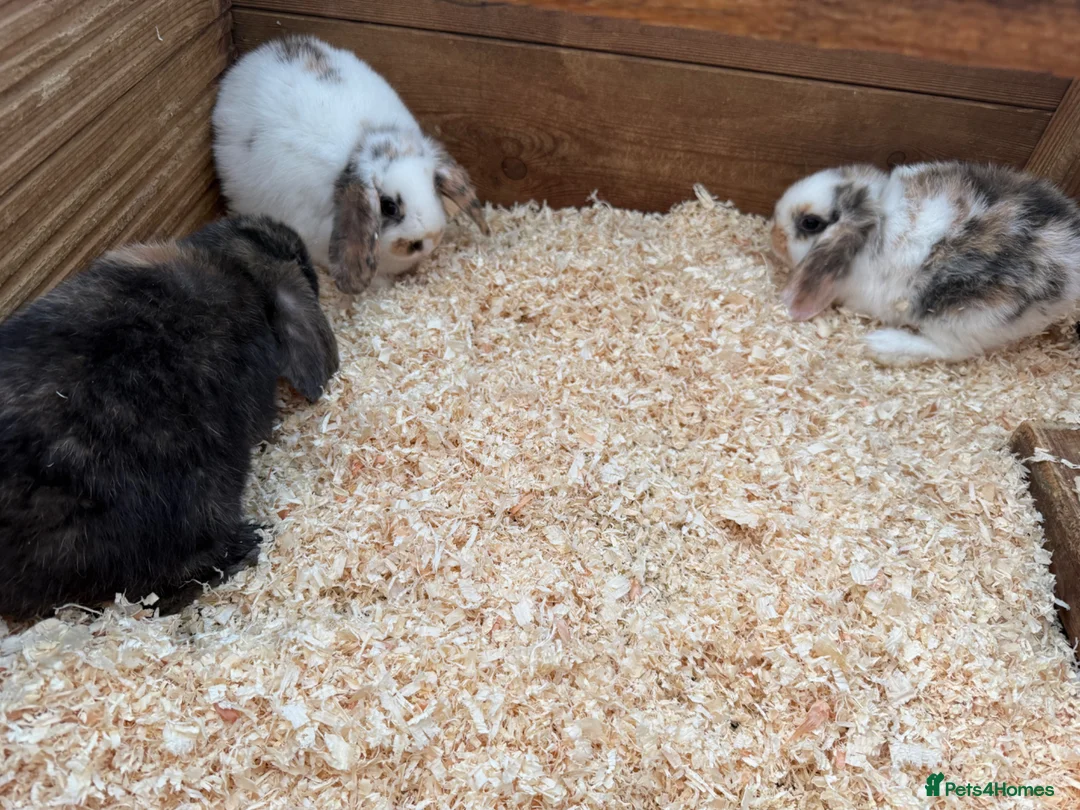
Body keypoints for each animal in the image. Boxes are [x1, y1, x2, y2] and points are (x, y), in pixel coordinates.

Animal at [770, 161, 1080, 365]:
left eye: (810, 223)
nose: (774, 236)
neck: (874, 226)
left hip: (970, 315)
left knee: (951, 349)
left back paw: (881, 345)